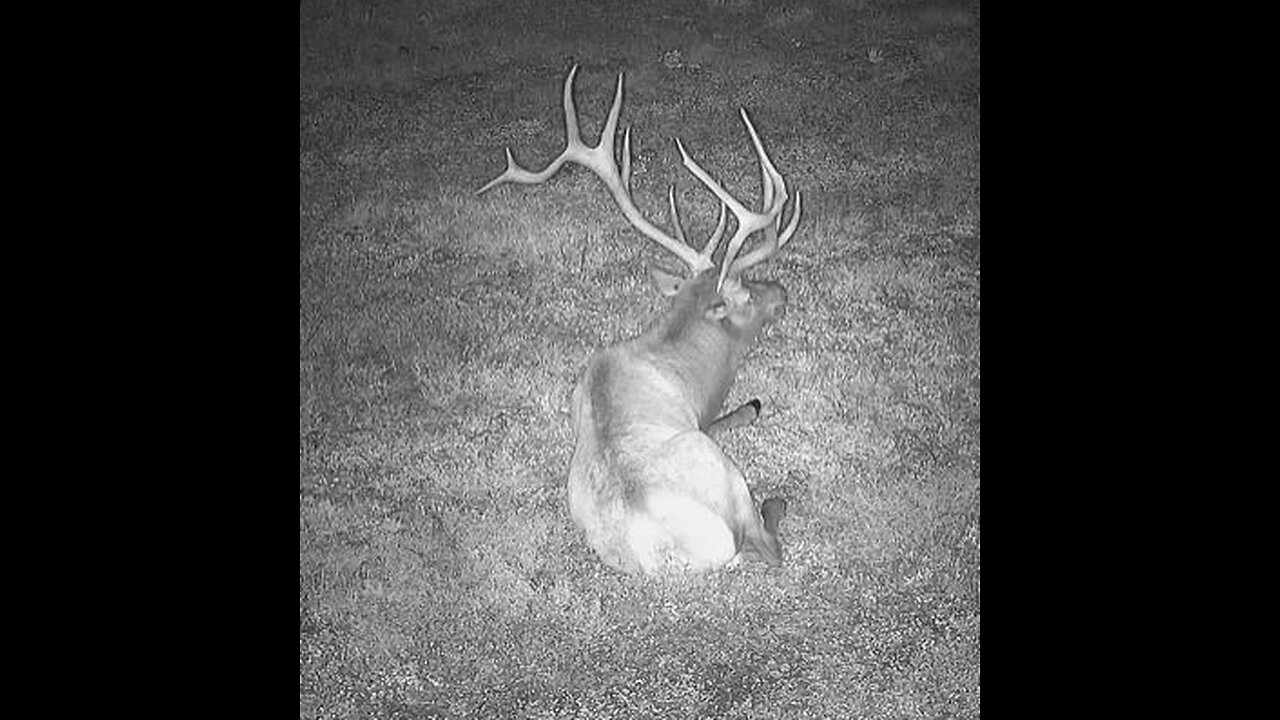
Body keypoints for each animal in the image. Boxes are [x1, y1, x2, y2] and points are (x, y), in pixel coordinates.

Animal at [478, 66, 801, 575]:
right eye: (747, 292)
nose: (781, 292)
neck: (683, 364)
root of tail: (678, 552)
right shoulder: (700, 421)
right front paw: (750, 406)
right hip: (720, 468)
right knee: (770, 545)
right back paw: (774, 488)